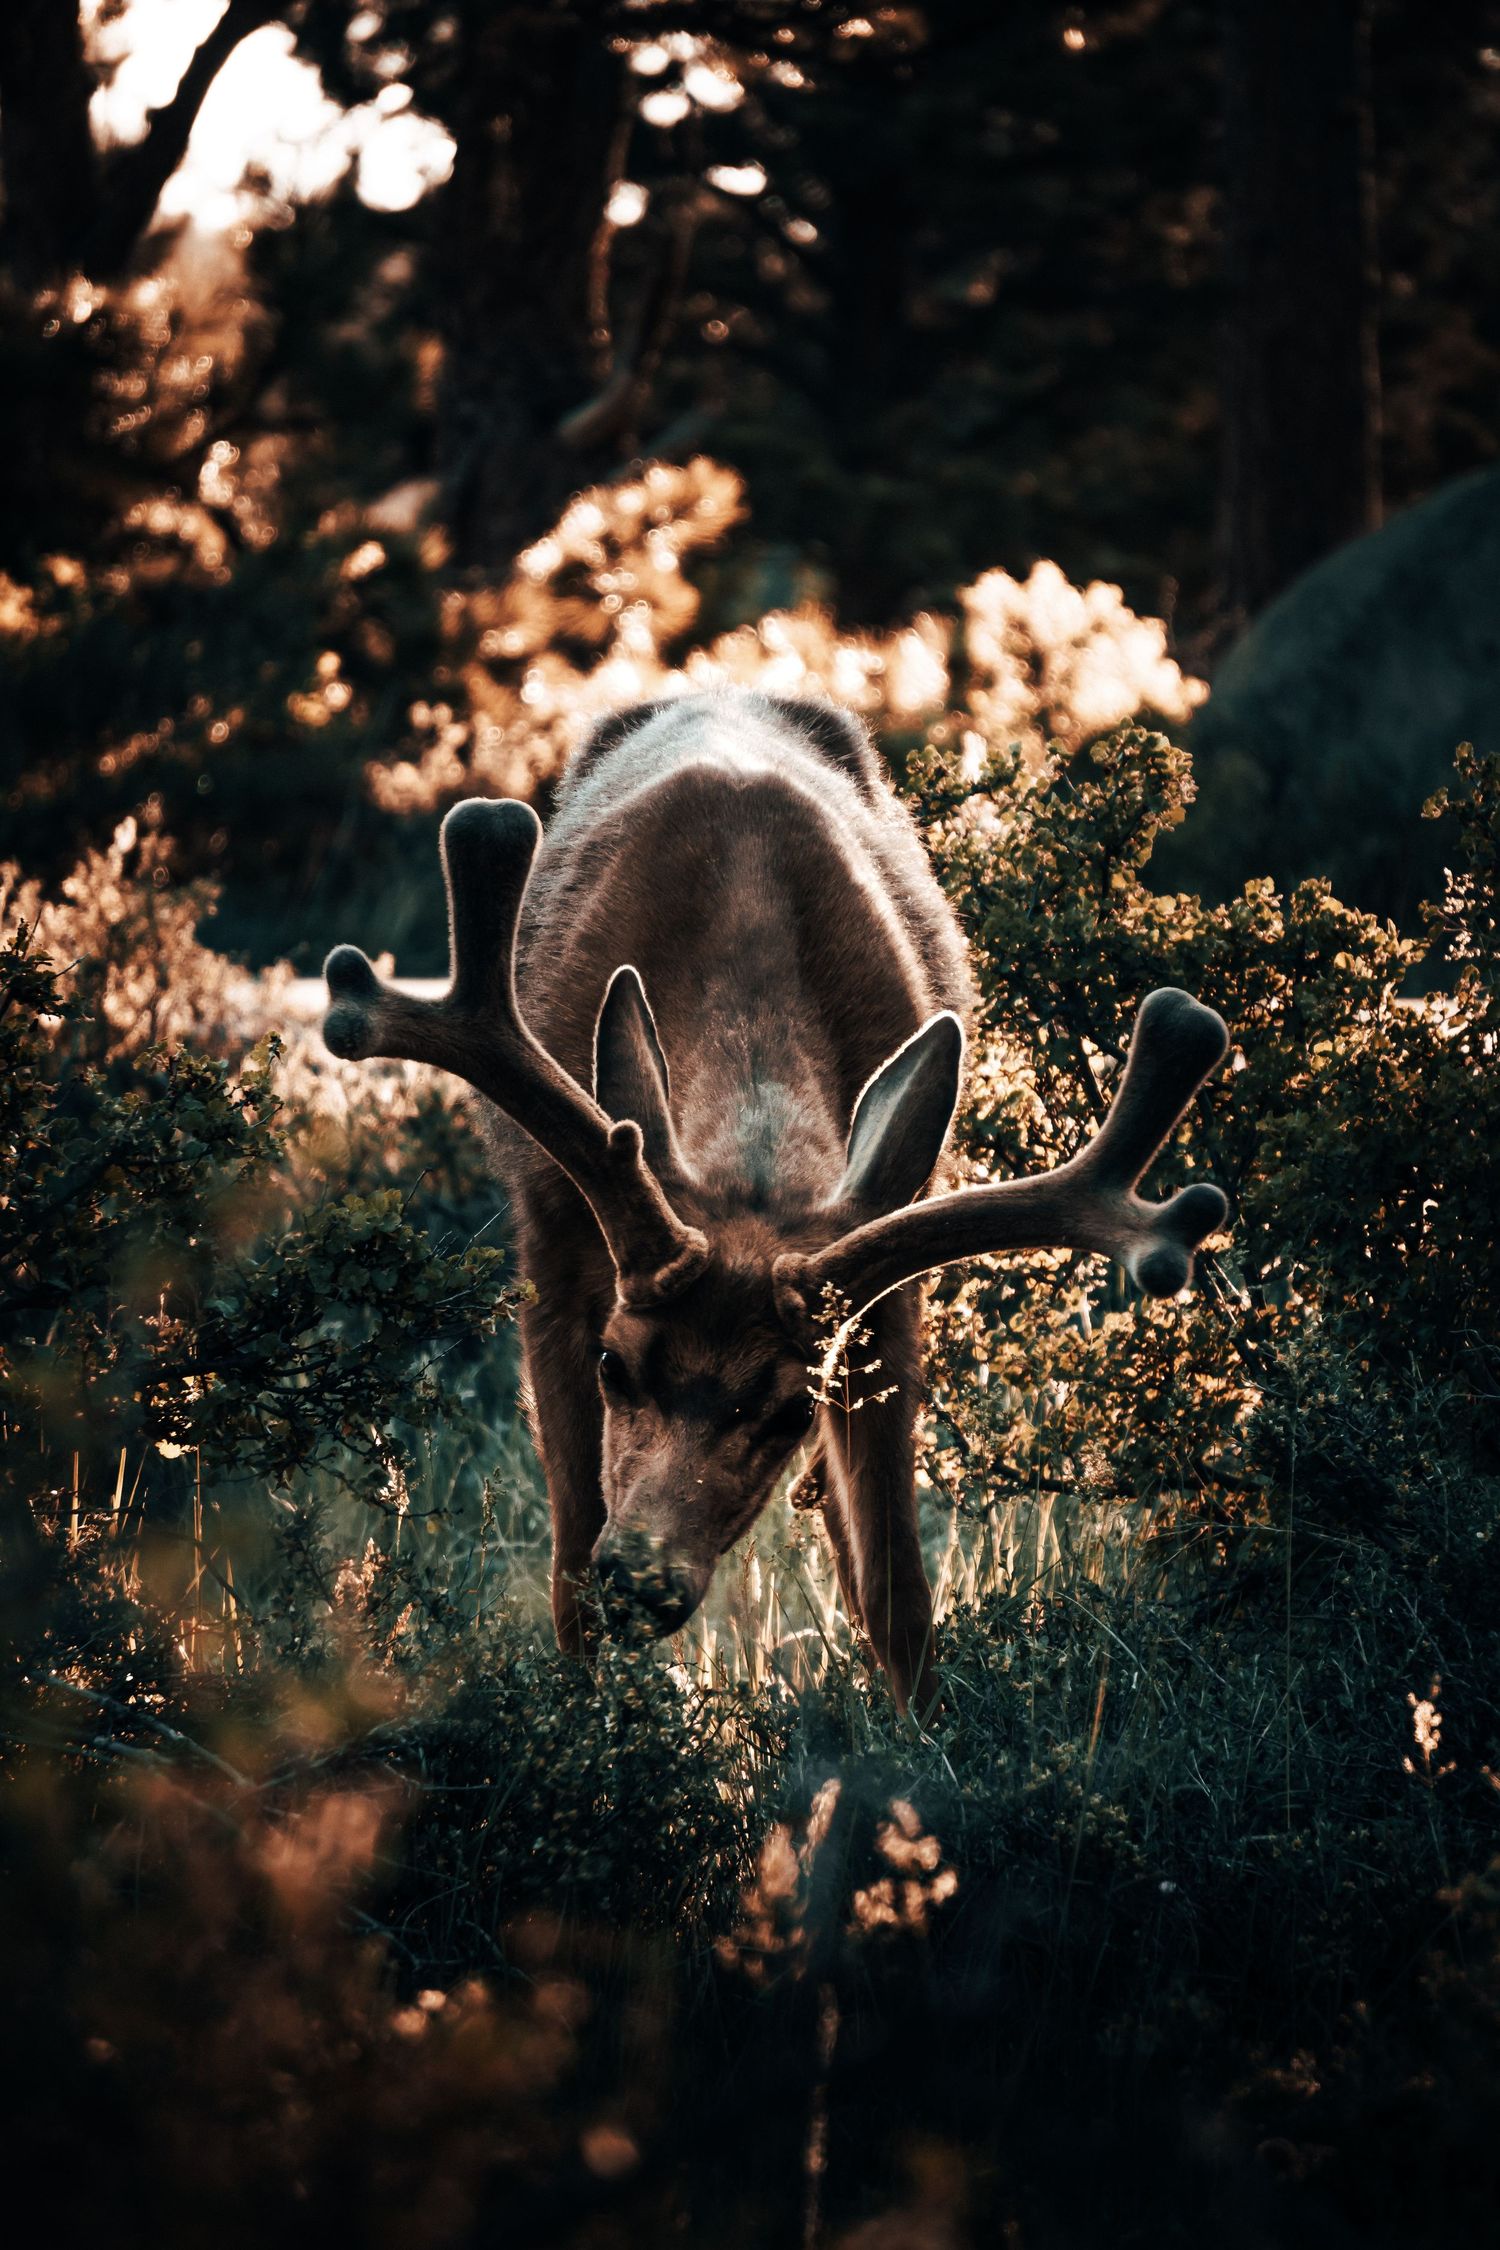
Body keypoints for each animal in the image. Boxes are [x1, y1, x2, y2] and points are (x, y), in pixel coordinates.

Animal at [322, 689, 1229, 1717]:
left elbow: (895, 1585)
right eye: (614, 1363)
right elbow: (567, 1562)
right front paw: (587, 1721)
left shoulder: (880, 1305)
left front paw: (925, 1731)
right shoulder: (551, 1242)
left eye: (791, 1409)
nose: (642, 1581)